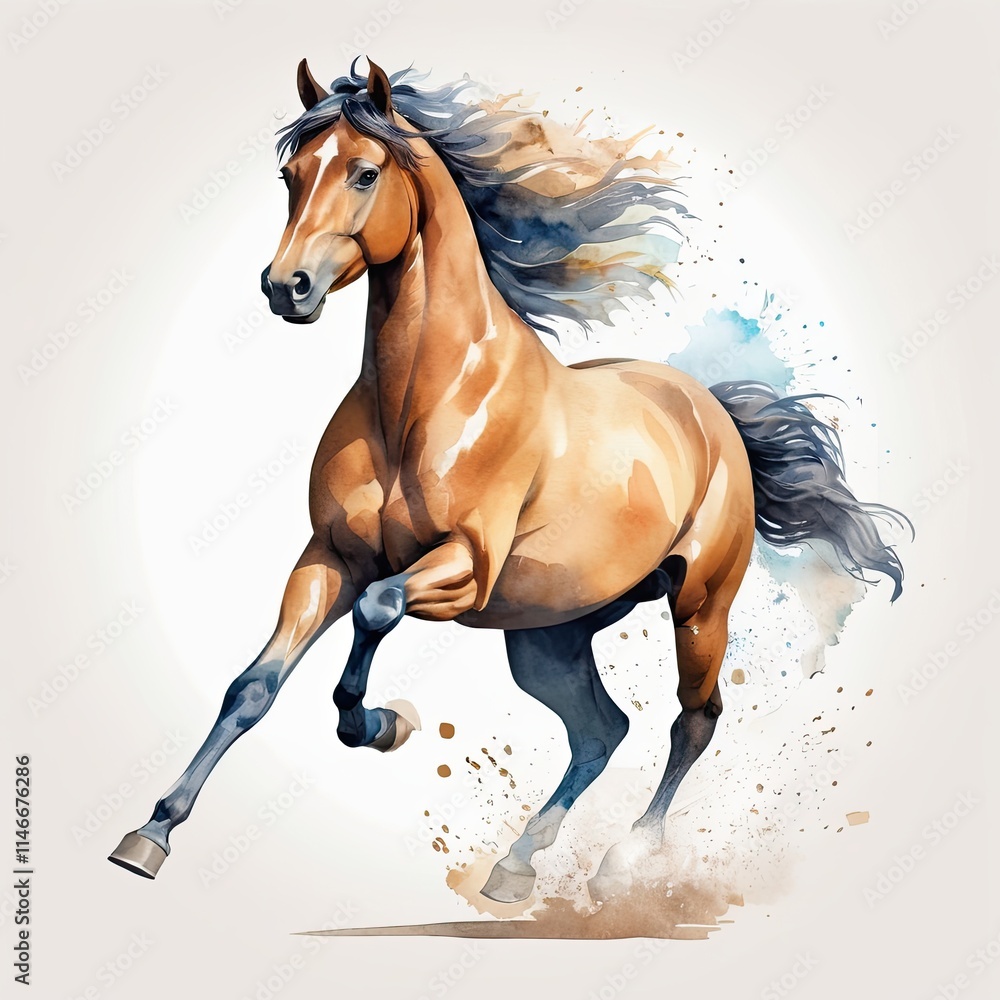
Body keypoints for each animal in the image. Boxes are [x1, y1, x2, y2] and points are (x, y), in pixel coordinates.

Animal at [109, 59, 908, 904]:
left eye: (364, 172)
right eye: (290, 176)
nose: (285, 286)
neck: (422, 403)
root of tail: (711, 406)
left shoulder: (463, 565)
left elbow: (377, 609)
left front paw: (385, 725)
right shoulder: (328, 557)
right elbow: (253, 687)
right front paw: (150, 834)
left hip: (699, 607)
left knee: (692, 720)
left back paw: (622, 860)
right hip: (548, 634)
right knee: (602, 729)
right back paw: (515, 866)